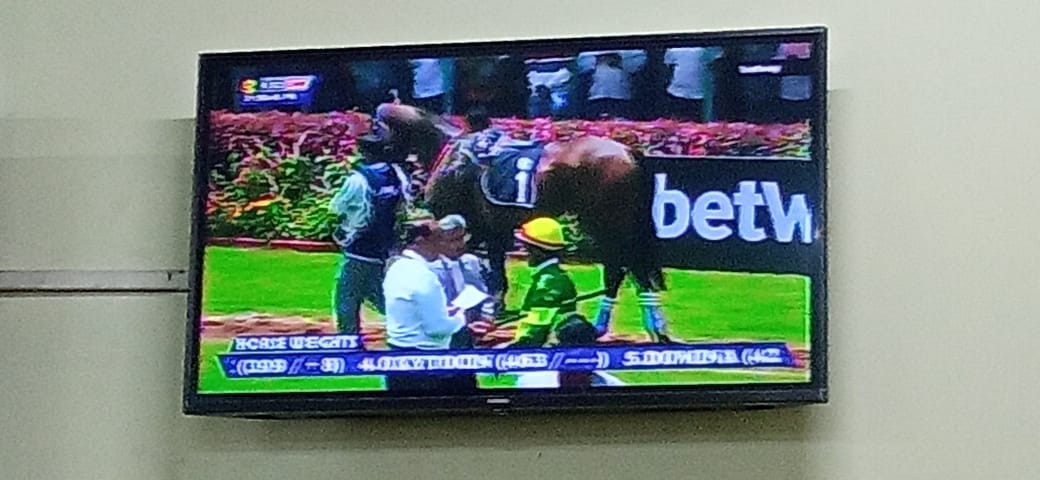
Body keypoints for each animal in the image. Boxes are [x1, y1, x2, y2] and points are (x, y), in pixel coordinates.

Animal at [373, 103, 672, 343]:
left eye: (376, 126)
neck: (452, 152)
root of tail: (628, 152)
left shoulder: (468, 228)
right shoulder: (491, 231)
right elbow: (489, 269)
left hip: (606, 223)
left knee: (622, 270)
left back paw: (627, 327)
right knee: (630, 271)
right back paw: (651, 328)